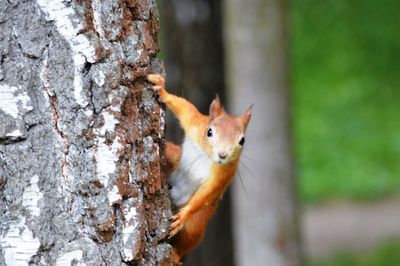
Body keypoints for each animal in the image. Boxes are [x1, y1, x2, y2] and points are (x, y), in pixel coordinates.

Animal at [147, 74, 253, 262]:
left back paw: (175, 256)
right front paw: (161, 89)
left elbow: (207, 192)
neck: (206, 155)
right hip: (175, 158)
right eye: (209, 131)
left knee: (188, 240)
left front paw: (183, 216)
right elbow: (184, 107)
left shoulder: (224, 174)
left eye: (242, 140)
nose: (222, 155)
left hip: (198, 222)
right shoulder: (195, 124)